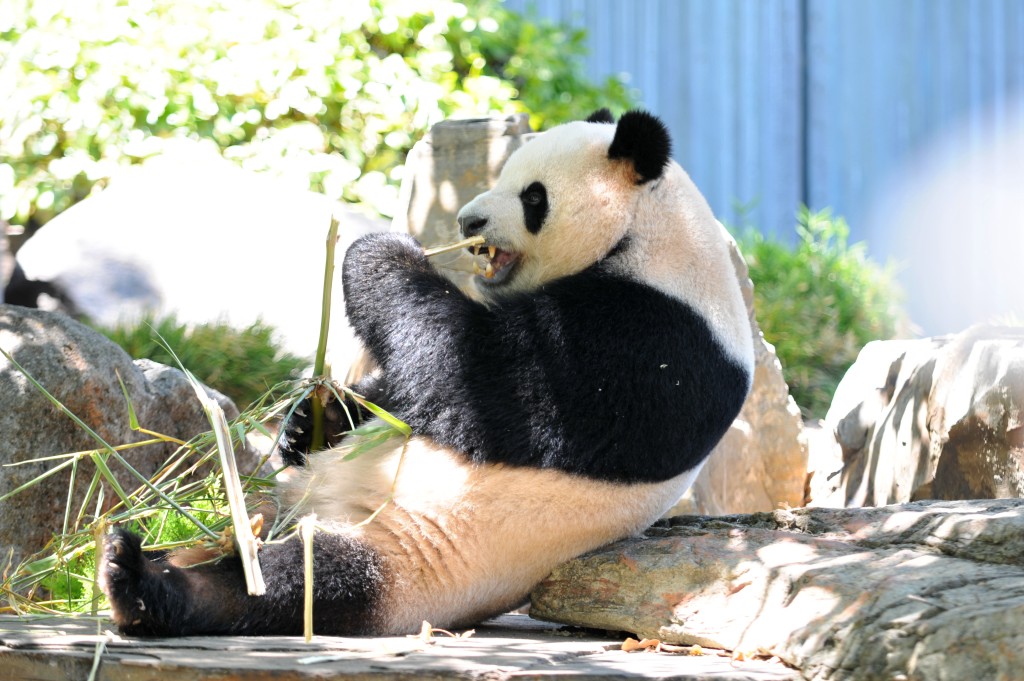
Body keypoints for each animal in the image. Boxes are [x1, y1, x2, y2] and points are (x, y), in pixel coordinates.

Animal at [99, 110, 757, 639]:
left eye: (533, 196)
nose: (468, 222)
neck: (650, 231)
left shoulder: (652, 343)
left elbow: (474, 371)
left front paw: (380, 249)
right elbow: (405, 394)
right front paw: (311, 419)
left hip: (420, 555)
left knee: (305, 581)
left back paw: (143, 584)